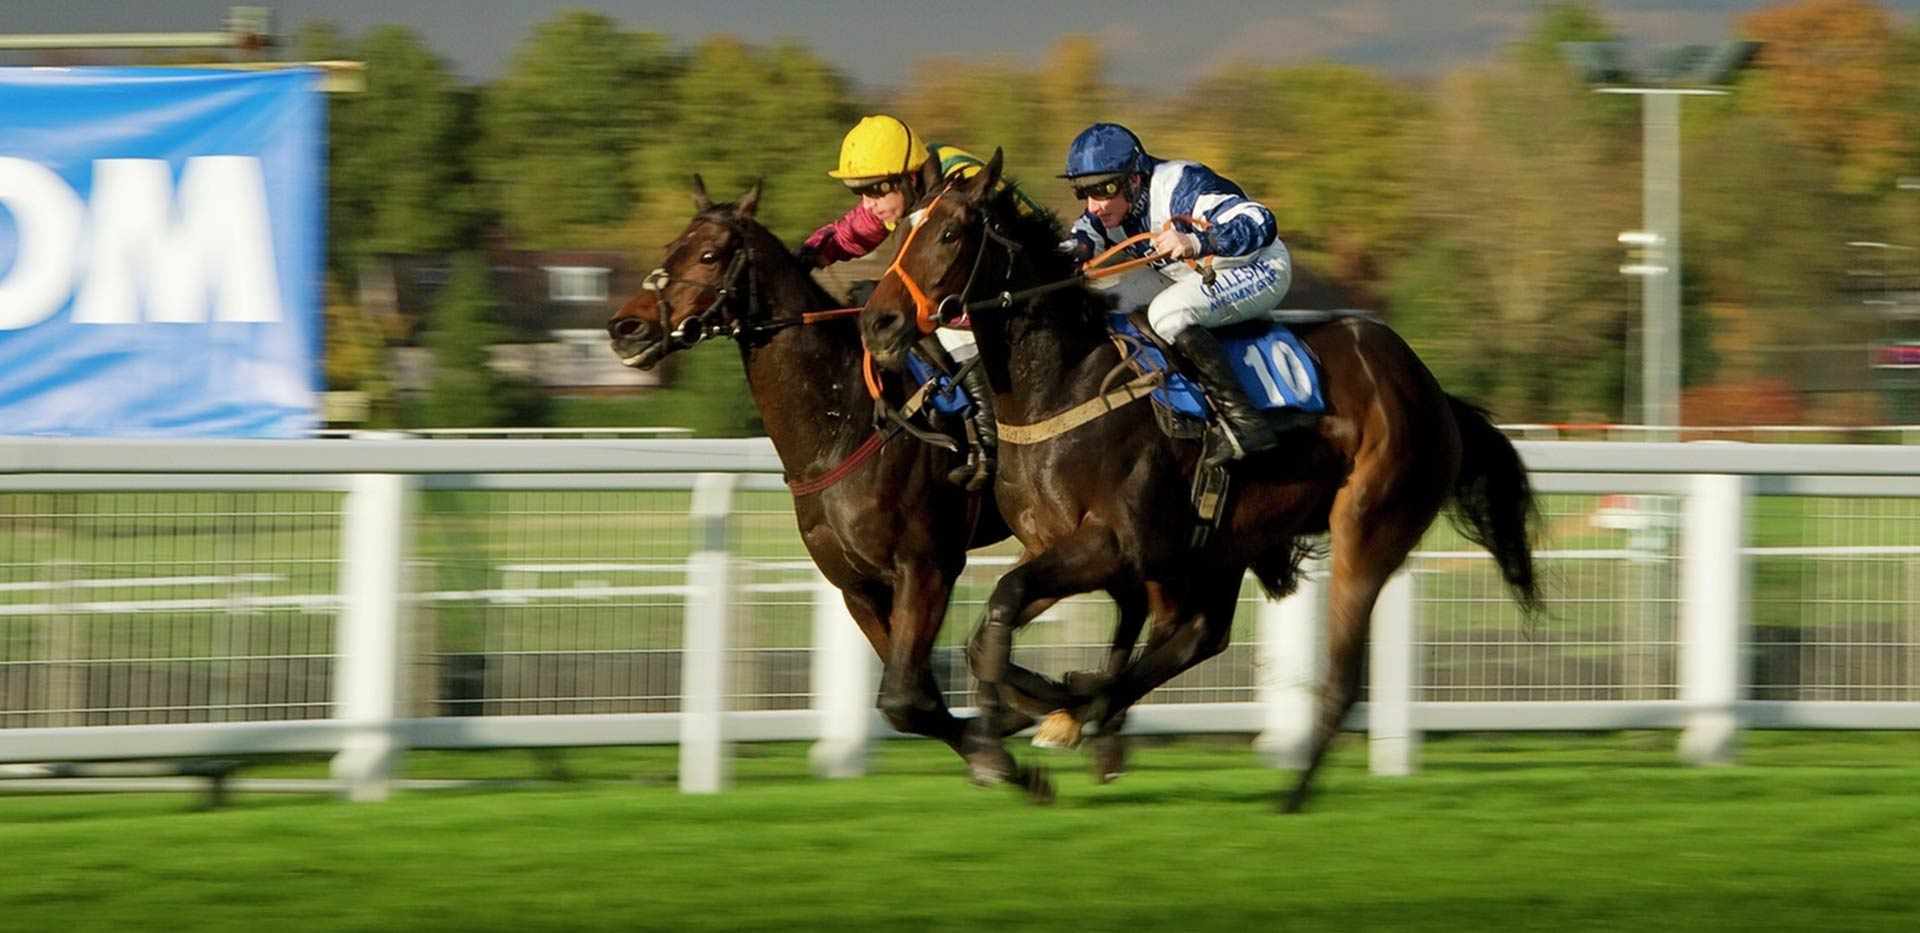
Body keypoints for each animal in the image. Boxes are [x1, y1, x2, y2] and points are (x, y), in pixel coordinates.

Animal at [606, 176, 1143, 798]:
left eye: (711, 255)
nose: (626, 328)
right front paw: (1002, 736)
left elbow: (906, 695)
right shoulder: (855, 584)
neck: (845, 421)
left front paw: (1005, 751)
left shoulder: (927, 564)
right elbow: (914, 696)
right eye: (672, 246)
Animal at [859, 151, 1543, 810]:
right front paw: (1041, 713)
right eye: (901, 229)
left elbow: (1003, 601)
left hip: (1368, 527)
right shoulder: (1059, 545)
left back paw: (1289, 794)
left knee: (1336, 676)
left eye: (950, 233)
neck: (1065, 383)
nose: (879, 323)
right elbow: (991, 630)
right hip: (1226, 540)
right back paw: (1091, 707)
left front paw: (1019, 731)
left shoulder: (1117, 545)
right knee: (1198, 636)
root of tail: (1431, 390)